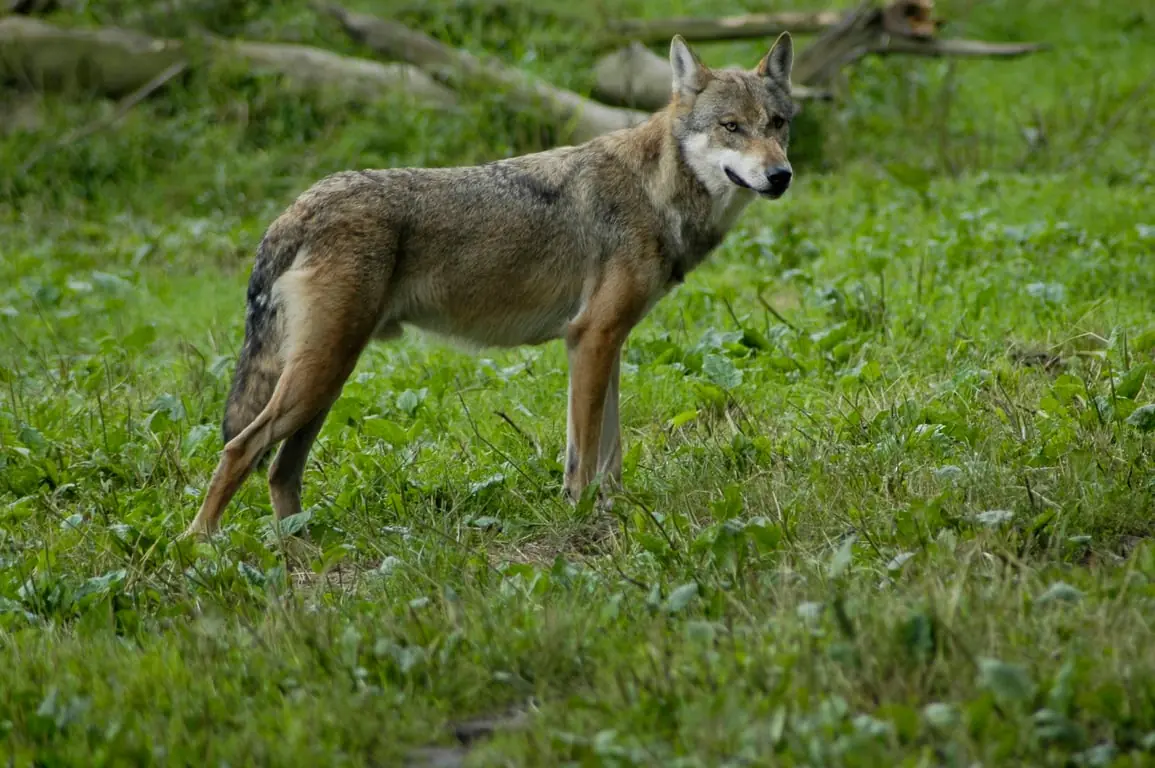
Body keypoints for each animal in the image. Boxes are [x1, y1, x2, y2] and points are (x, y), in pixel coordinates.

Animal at [182, 32, 799, 537]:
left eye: (777, 124)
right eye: (731, 127)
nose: (781, 176)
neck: (655, 190)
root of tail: (296, 207)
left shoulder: (606, 343)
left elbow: (609, 453)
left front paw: (615, 514)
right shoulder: (591, 337)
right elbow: (583, 455)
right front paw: (581, 519)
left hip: (326, 380)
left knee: (280, 472)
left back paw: (300, 556)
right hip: (320, 376)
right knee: (239, 450)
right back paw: (202, 549)